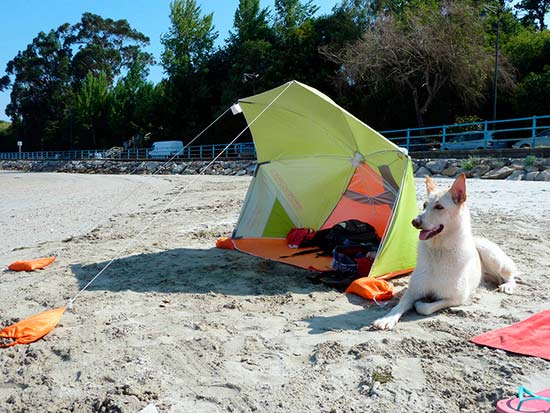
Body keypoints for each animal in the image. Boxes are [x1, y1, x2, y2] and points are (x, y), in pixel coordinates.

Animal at [374, 172, 520, 330]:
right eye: (424, 205)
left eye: (439, 207)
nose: (414, 222)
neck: (438, 250)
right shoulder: (412, 291)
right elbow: (398, 306)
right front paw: (387, 319)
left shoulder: (457, 298)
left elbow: (425, 308)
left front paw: (421, 303)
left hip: (491, 255)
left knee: (510, 276)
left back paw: (507, 286)